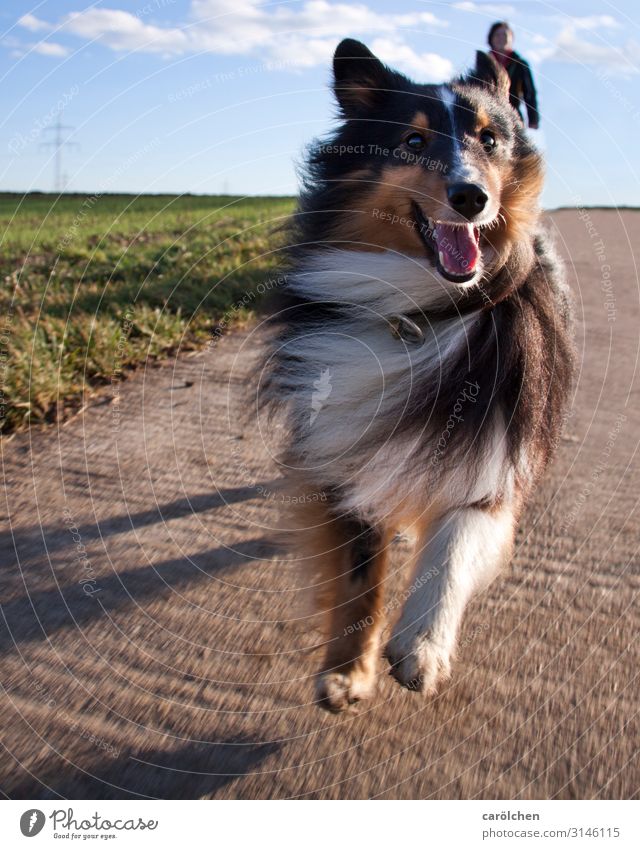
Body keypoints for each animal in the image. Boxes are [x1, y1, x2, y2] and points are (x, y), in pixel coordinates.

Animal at [260, 38, 576, 708]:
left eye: (490, 139)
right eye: (412, 140)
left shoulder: (495, 440)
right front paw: (347, 673)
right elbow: (358, 575)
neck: (422, 310)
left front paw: (423, 645)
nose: (470, 198)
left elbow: (454, 543)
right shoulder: (339, 443)